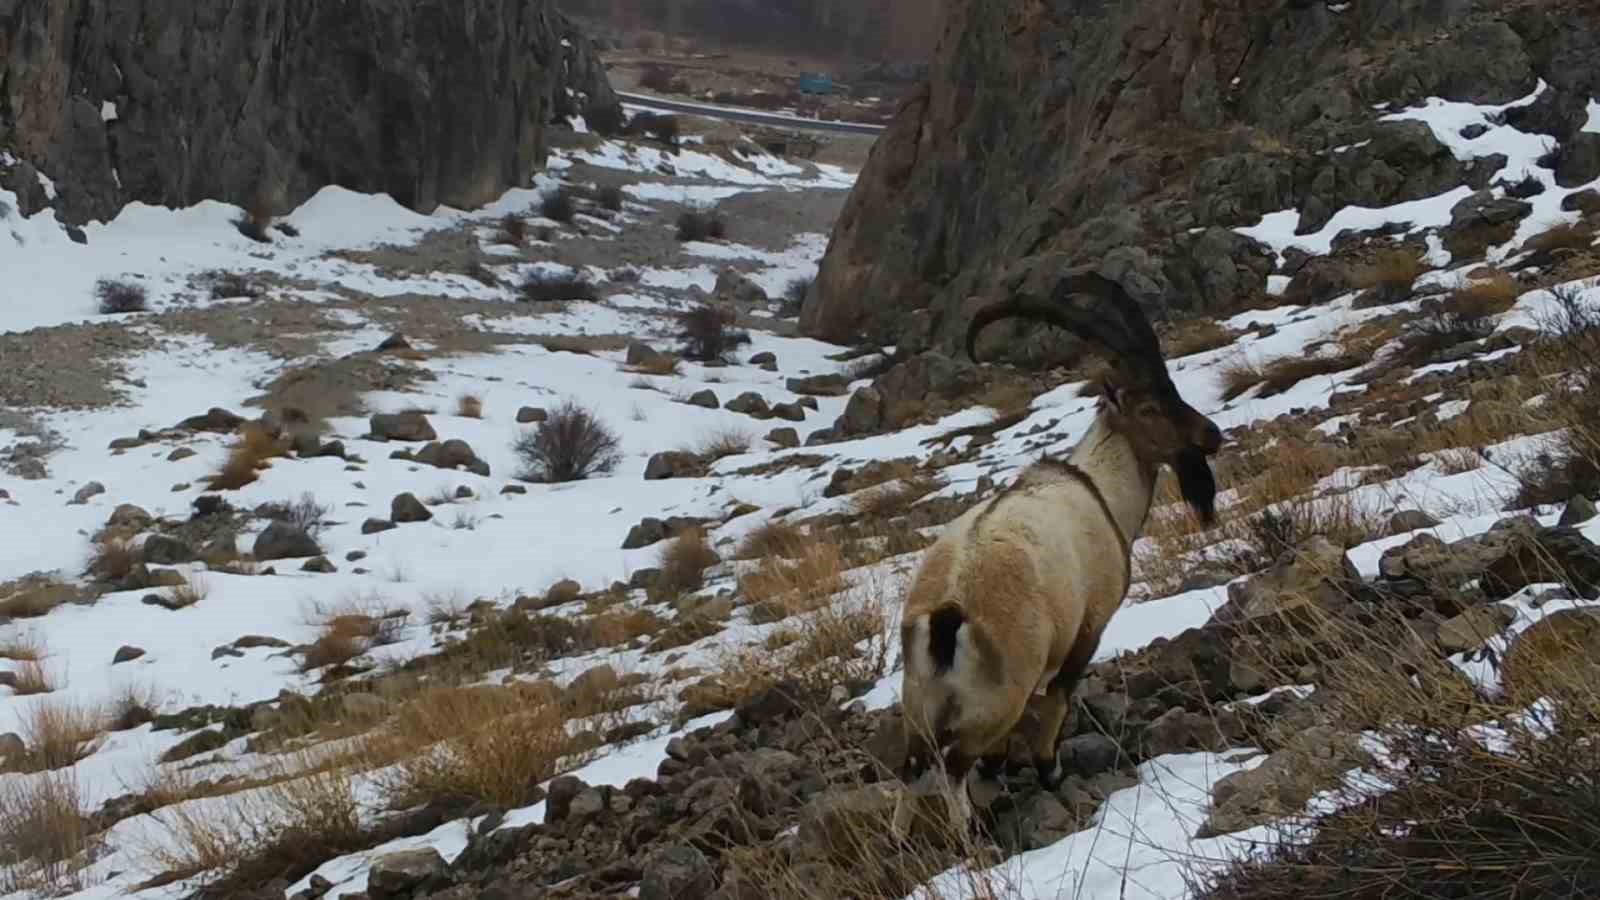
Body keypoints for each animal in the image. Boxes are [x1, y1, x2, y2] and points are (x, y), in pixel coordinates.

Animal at [889, 265, 1222, 832]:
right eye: (1150, 405)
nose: (1212, 435)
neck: (1100, 488)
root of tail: (946, 615)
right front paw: (1049, 769)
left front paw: (1004, 767)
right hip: (997, 693)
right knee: (953, 765)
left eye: (1174, 389)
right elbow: (1059, 696)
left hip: (919, 702)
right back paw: (971, 834)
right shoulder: (1090, 623)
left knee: (912, 769)